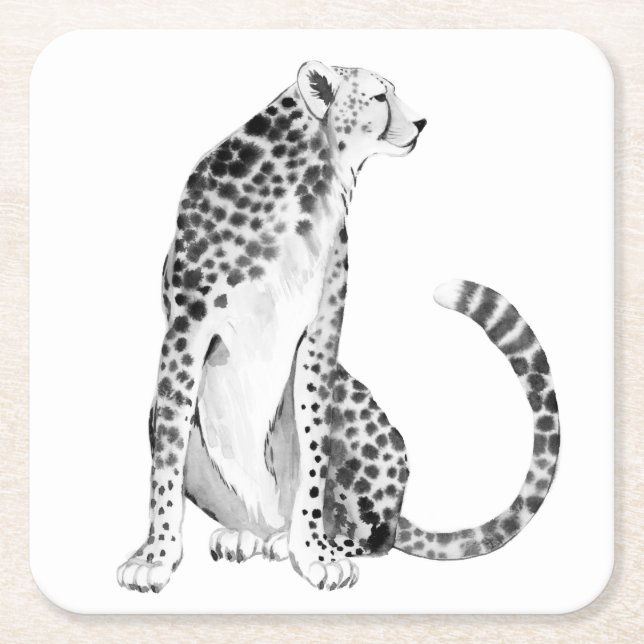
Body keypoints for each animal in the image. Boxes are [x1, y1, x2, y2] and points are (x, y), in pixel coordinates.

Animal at [117, 61, 560, 593]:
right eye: (379, 97)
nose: (422, 122)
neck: (309, 179)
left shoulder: (321, 333)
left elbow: (314, 452)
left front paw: (314, 553)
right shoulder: (186, 330)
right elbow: (167, 454)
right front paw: (156, 555)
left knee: (377, 538)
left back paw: (301, 541)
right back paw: (247, 536)